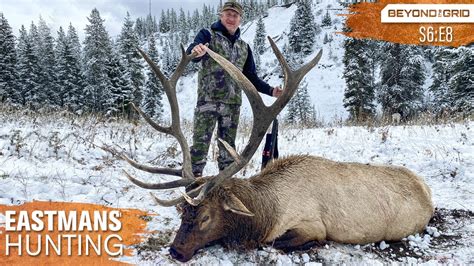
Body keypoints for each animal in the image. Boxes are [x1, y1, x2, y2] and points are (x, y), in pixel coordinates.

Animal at [105, 37, 436, 262]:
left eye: (205, 217)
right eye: (182, 212)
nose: (174, 251)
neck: (264, 213)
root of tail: (426, 189)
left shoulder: (312, 225)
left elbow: (276, 242)